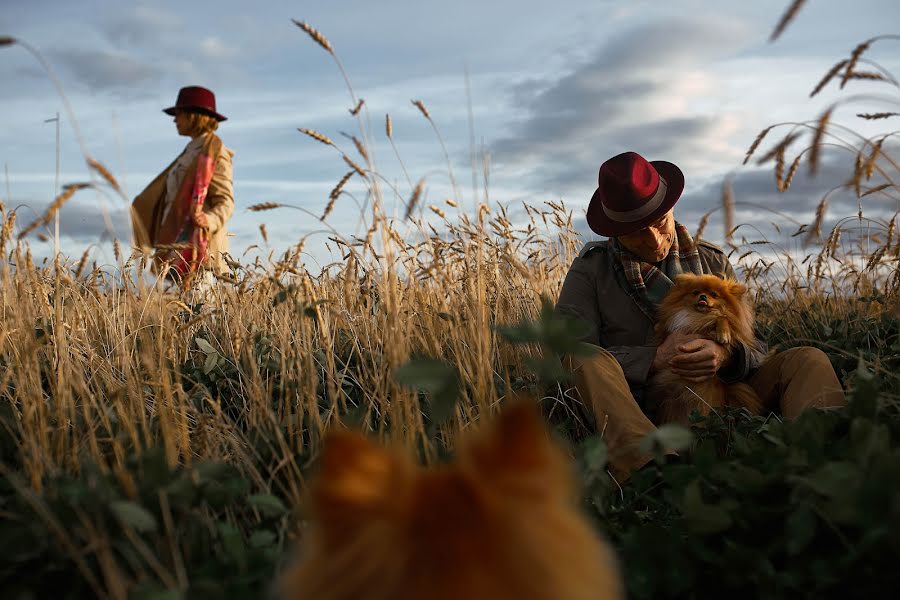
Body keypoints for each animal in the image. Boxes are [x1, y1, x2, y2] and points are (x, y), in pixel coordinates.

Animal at [648, 274, 768, 426]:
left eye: (714, 295)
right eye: (695, 292)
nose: (703, 296)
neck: (698, 316)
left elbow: (722, 317)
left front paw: (723, 333)